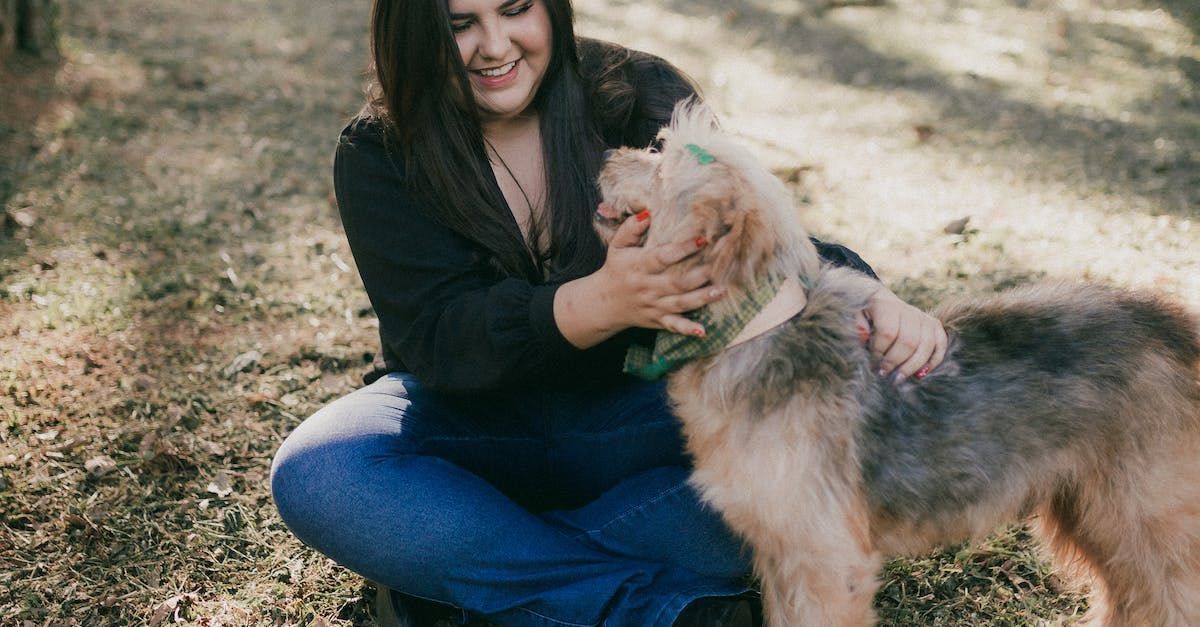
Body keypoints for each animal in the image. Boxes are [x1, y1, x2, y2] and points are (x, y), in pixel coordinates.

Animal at [592, 105, 1200, 619]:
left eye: (663, 166)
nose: (606, 156)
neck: (758, 330)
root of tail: (1175, 328)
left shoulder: (826, 562)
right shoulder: (781, 555)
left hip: (1147, 523)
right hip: (1093, 517)